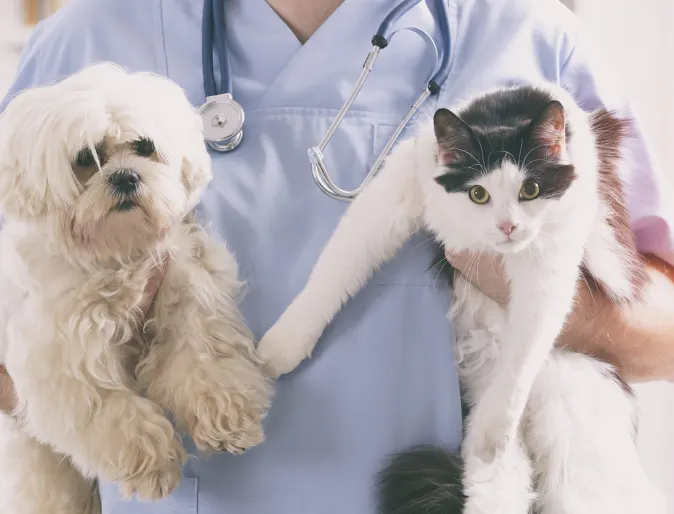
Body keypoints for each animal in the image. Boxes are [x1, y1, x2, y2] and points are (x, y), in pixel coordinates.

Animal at [0, 62, 272, 510]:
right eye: (86, 158)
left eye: (144, 147)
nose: (125, 177)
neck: (118, 257)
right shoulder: (64, 359)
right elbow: (112, 412)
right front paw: (151, 463)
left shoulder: (185, 291)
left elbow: (203, 359)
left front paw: (226, 415)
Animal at [255, 85, 664, 512]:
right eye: (478, 194)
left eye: (530, 190)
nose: (507, 226)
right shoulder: (402, 185)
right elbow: (336, 266)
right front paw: (282, 346)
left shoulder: (550, 258)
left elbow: (526, 348)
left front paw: (495, 425)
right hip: (502, 469)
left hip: (581, 451)